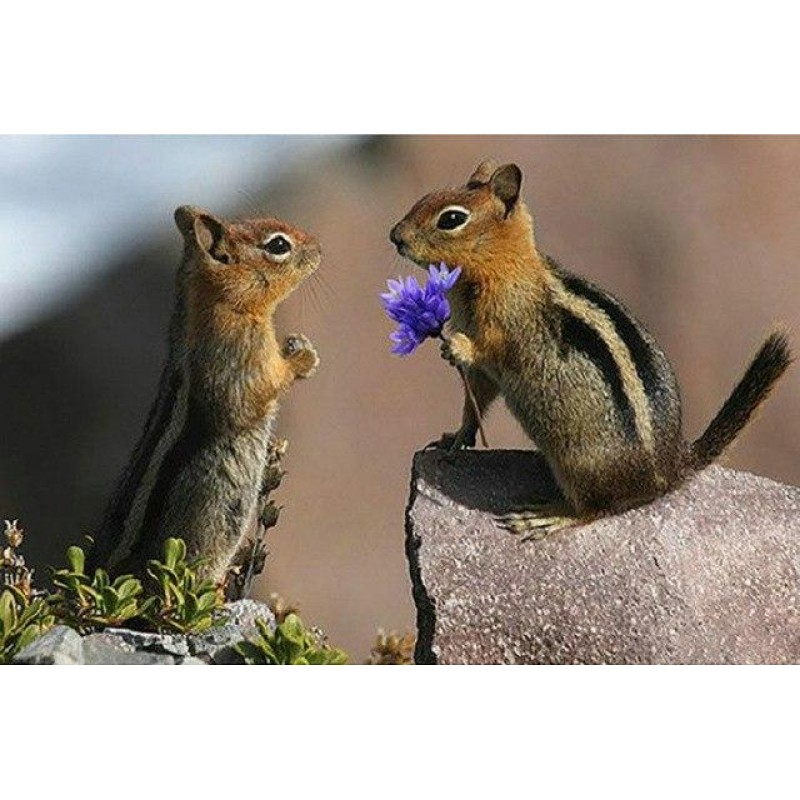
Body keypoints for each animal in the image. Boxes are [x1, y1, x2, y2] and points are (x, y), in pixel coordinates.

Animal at [88, 206, 320, 582]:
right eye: (278, 245)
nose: (319, 249)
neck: (220, 303)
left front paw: (298, 345)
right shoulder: (239, 356)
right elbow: (262, 387)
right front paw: (303, 358)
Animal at [390, 159, 793, 538]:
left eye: (452, 219)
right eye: (425, 198)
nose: (395, 236)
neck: (503, 269)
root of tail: (670, 469)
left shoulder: (506, 329)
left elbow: (489, 351)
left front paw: (455, 346)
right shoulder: (483, 376)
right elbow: (475, 401)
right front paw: (456, 437)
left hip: (578, 465)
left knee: (597, 509)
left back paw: (548, 517)